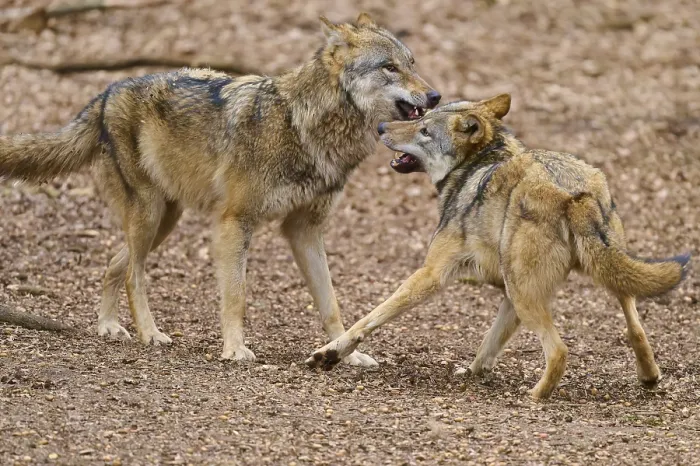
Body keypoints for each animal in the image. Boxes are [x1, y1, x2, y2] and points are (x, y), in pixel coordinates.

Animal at [0, 13, 441, 364]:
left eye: (412, 64)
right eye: (389, 67)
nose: (435, 95)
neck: (303, 125)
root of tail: (106, 93)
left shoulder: (304, 230)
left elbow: (330, 302)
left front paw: (341, 354)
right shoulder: (235, 222)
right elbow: (236, 296)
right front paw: (234, 350)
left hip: (164, 220)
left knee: (113, 263)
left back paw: (108, 325)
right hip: (150, 216)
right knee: (133, 276)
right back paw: (149, 334)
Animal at [306, 94, 690, 398]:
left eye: (425, 130)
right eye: (420, 119)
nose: (382, 127)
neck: (476, 165)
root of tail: (573, 193)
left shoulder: (430, 275)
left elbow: (370, 318)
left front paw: (328, 355)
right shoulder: (506, 296)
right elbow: (488, 344)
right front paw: (474, 372)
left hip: (527, 297)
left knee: (559, 351)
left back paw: (534, 397)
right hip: (591, 284)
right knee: (635, 329)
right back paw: (649, 378)